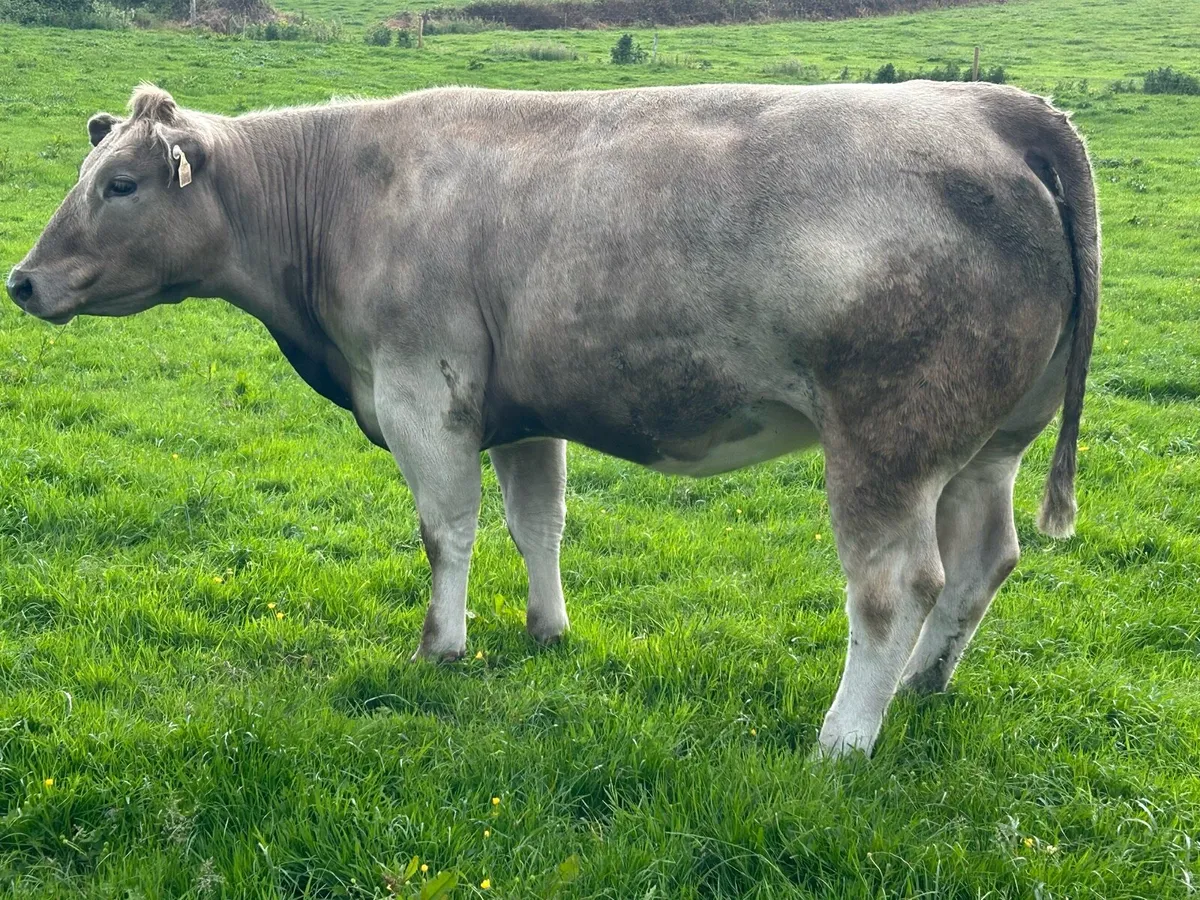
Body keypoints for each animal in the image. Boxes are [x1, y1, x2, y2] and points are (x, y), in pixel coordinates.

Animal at [6, 82, 1099, 757]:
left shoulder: (422, 391)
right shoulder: (522, 409)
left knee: (894, 585)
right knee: (982, 563)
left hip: (888, 440)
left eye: (121, 184)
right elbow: (539, 524)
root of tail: (996, 105)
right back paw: (923, 688)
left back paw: (843, 738)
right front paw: (547, 630)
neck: (342, 191)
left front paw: (442, 646)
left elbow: (445, 531)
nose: (21, 280)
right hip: (988, 446)